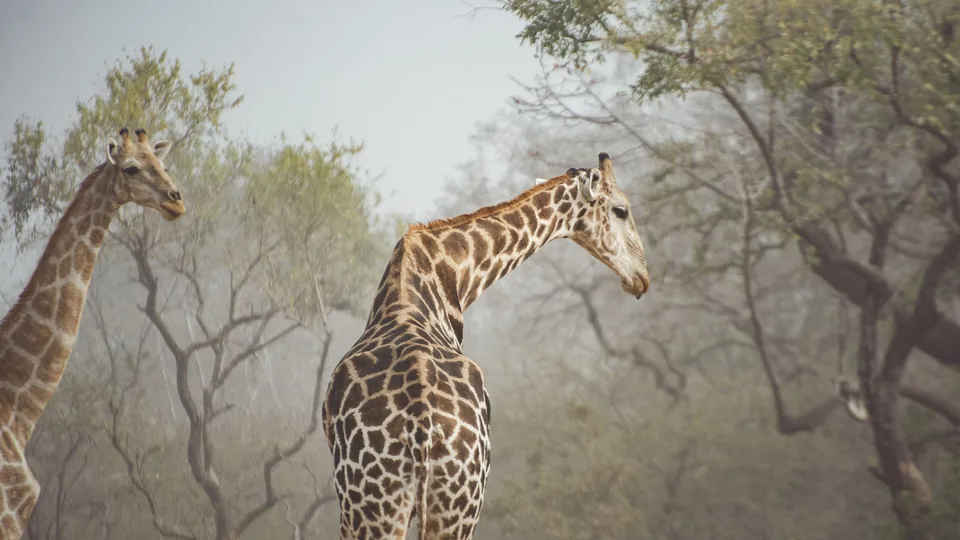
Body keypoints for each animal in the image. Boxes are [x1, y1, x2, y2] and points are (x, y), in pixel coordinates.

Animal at [321, 152, 649, 539]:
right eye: (621, 210)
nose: (642, 277)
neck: (451, 277)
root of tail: (421, 426)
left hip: (403, 504)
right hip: (420, 504)